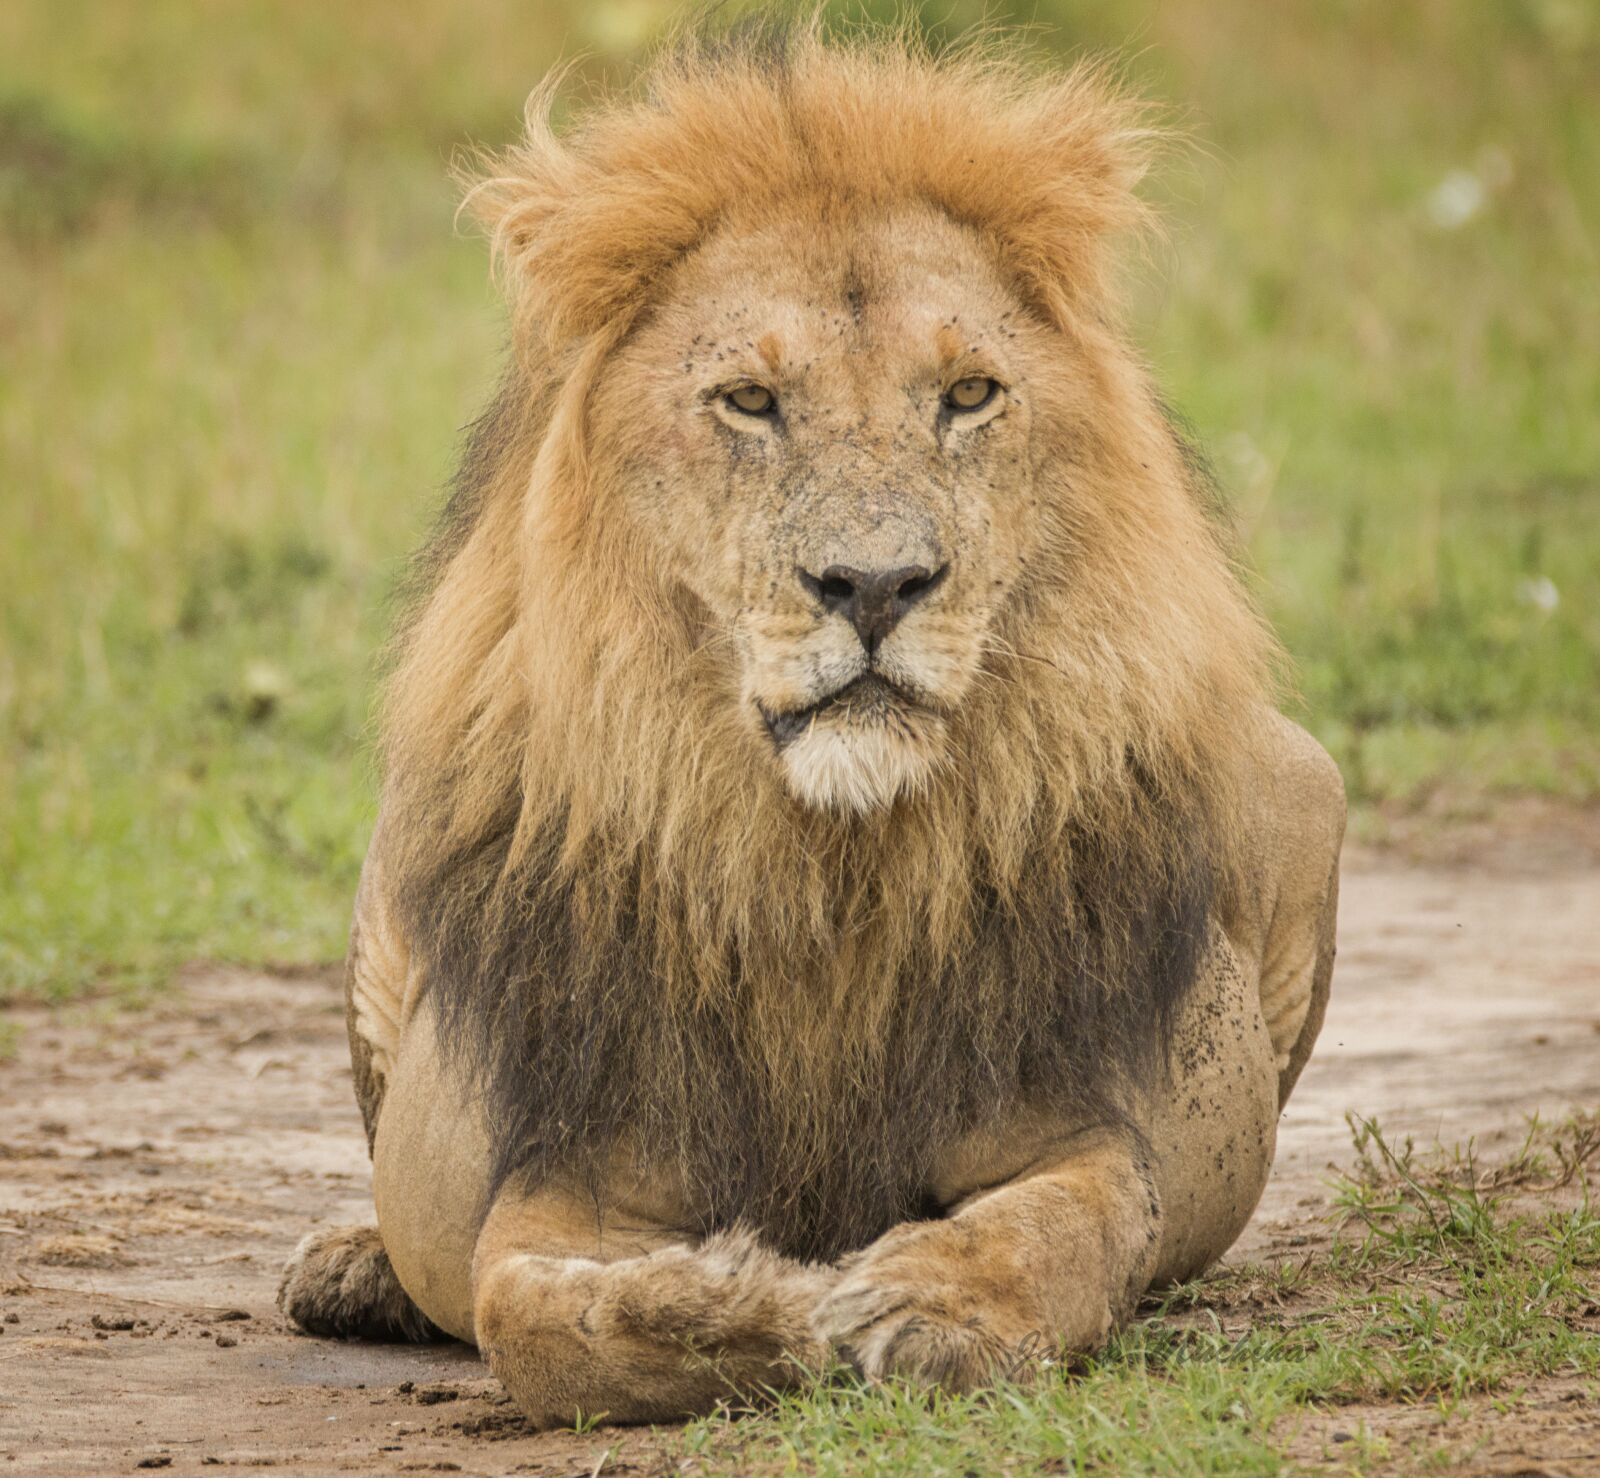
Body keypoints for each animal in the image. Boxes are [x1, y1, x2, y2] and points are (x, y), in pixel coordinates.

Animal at [278, 23, 1344, 1426]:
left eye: (967, 393)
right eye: (747, 400)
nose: (876, 584)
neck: (824, 859)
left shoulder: (1082, 1121)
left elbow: (1071, 1224)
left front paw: (930, 1303)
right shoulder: (566, 1165)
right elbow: (533, 1314)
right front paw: (755, 1302)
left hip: (1309, 785)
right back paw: (351, 1268)